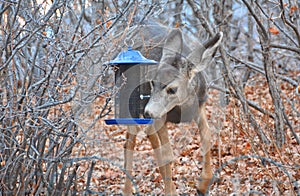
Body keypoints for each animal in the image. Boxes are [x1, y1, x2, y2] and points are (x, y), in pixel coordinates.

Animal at [120, 22, 223, 195]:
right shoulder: (160, 116)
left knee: (141, 138)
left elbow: (207, 136)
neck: (181, 109)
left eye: (172, 89)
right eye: (152, 82)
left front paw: (203, 184)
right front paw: (171, 191)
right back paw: (128, 190)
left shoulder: (199, 106)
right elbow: (167, 154)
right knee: (132, 141)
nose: (148, 111)